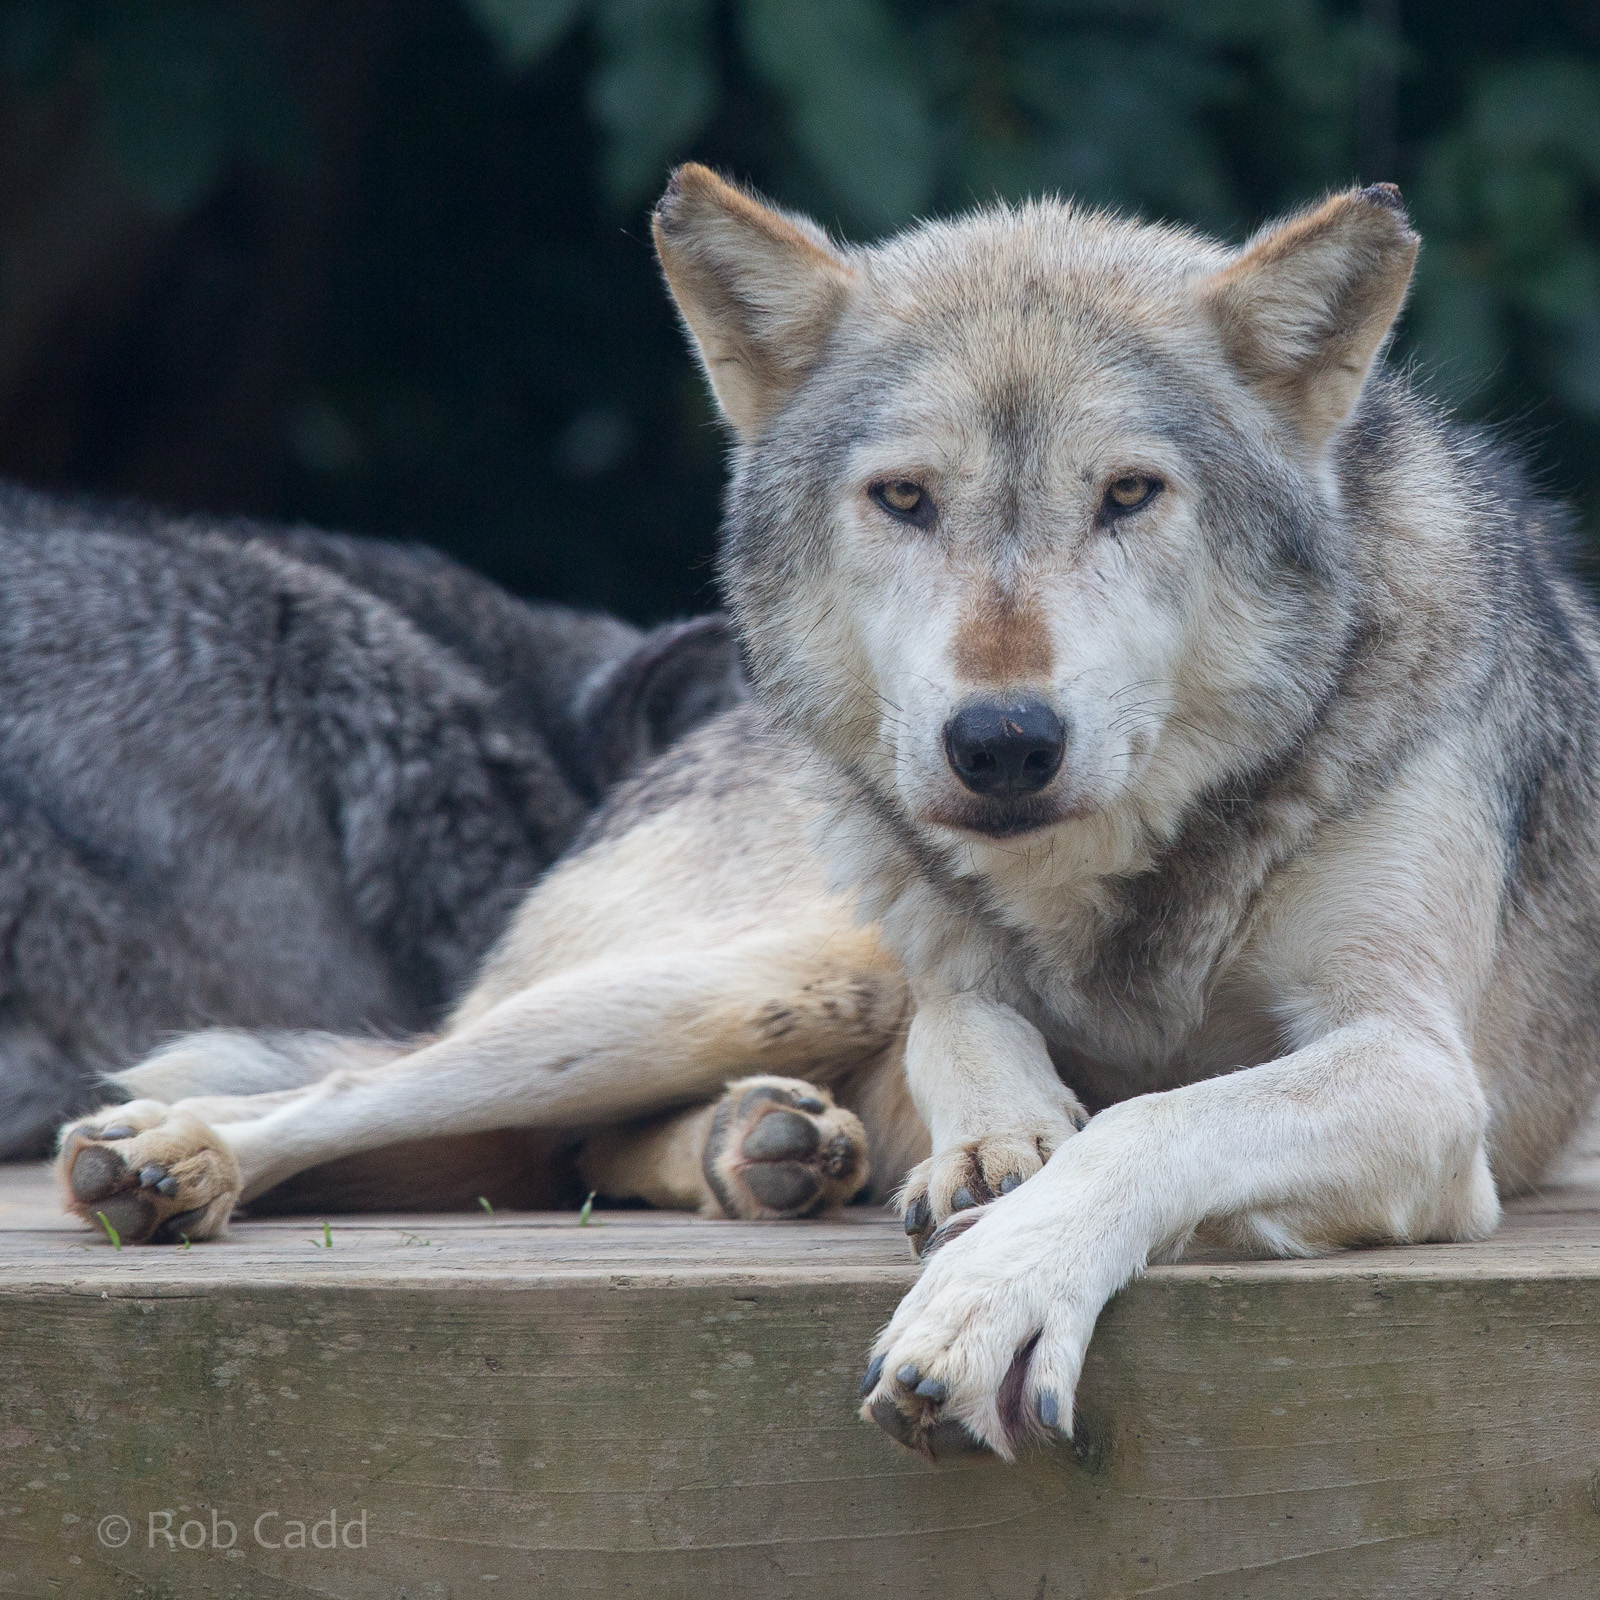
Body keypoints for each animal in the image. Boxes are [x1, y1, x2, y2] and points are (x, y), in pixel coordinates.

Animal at [53, 169, 1600, 1466]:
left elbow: (1156, 1121)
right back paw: (173, 1156)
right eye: (905, 498)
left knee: (570, 1148)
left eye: (1129, 493)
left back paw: (770, 1152)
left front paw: (989, 1285)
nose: (1003, 742)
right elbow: (975, 1030)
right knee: (365, 1091)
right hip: (743, 979)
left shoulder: (1416, 1070)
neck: (1108, 883)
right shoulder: (950, 970)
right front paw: (995, 1144)